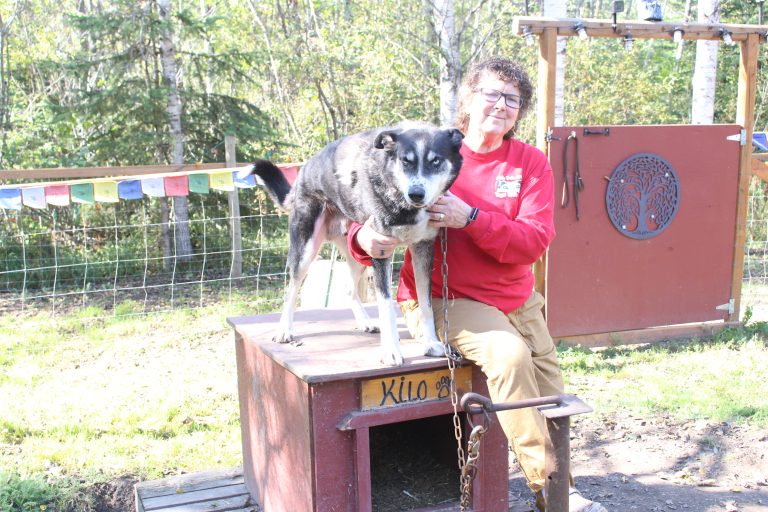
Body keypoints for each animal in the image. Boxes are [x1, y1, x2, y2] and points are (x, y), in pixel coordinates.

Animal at [242, 122, 462, 366]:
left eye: (436, 161)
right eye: (406, 161)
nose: (416, 194)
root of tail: (304, 170)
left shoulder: (423, 248)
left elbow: (426, 304)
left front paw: (431, 343)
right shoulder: (381, 250)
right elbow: (386, 307)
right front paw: (391, 351)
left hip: (358, 255)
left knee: (348, 287)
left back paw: (365, 321)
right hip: (306, 251)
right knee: (292, 289)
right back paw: (284, 330)